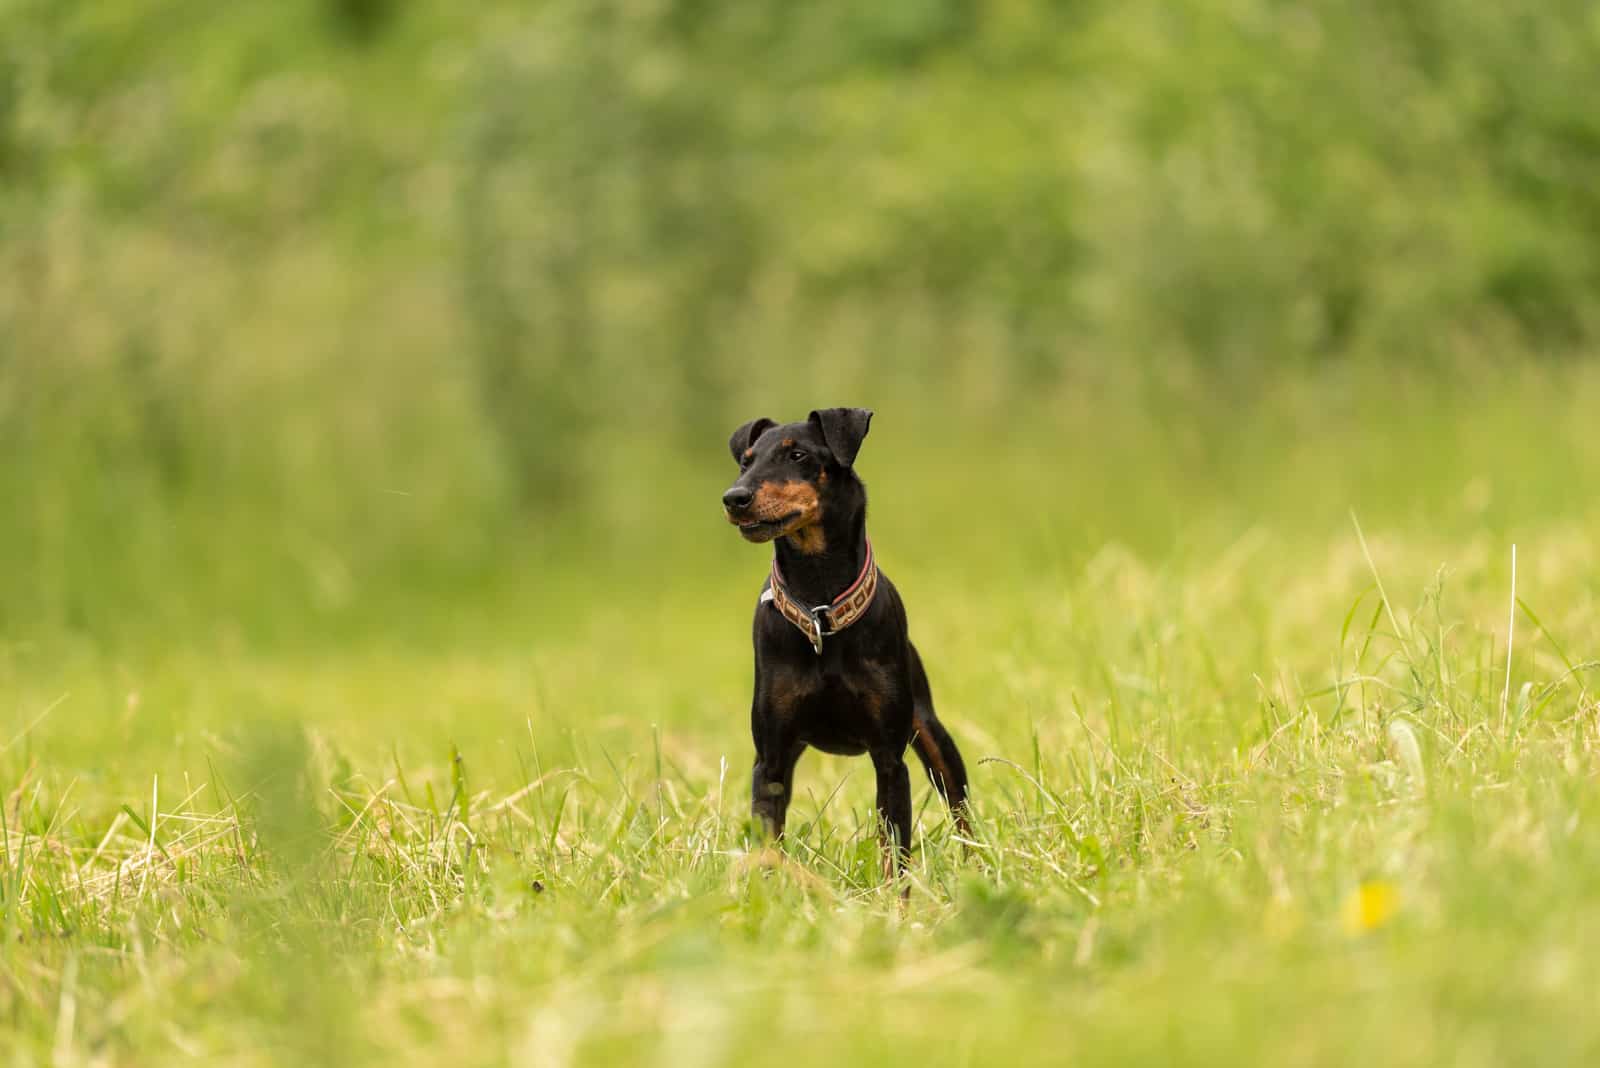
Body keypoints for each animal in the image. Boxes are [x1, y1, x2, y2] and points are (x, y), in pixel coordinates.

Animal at [720, 404, 966, 869]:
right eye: (746, 461)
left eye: (798, 455)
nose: (734, 498)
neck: (820, 609)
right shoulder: (770, 762)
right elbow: (769, 844)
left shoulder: (890, 759)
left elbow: (894, 851)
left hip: (931, 734)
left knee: (960, 808)